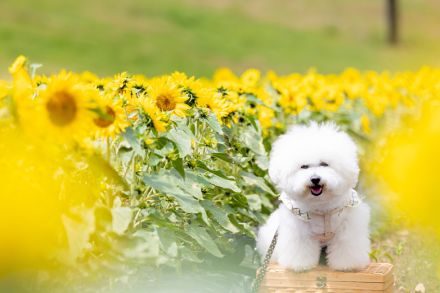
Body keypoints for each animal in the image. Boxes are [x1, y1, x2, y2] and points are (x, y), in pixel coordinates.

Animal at [256, 122, 370, 270]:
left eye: (324, 164)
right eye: (304, 166)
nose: (315, 179)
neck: (320, 205)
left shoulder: (348, 225)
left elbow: (346, 243)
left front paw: (346, 265)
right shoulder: (298, 229)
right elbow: (300, 247)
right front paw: (300, 266)